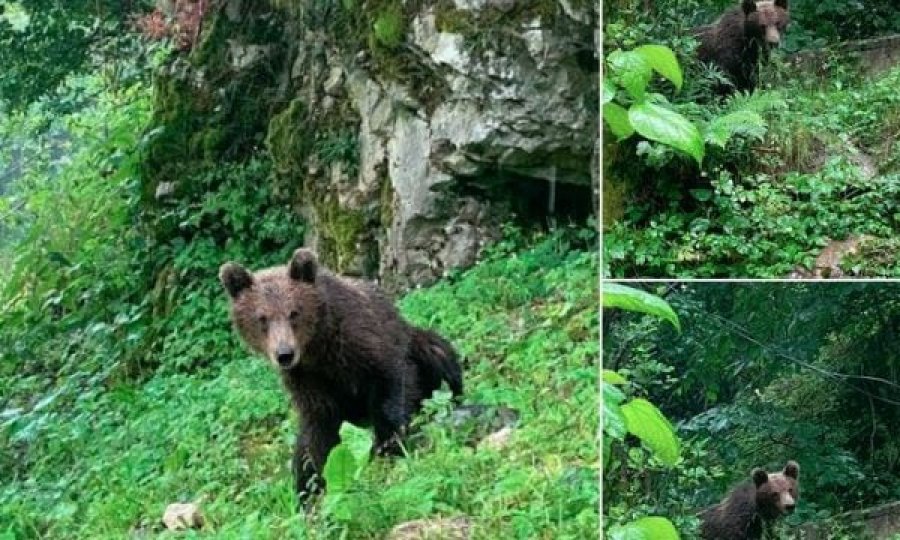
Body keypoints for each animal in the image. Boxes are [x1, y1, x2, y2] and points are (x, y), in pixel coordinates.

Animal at [219, 249, 464, 502]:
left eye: (294, 312)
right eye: (262, 318)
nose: (284, 354)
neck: (318, 348)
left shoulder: (367, 345)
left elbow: (391, 385)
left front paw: (387, 447)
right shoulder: (308, 380)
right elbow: (318, 433)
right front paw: (316, 482)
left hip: (420, 345)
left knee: (437, 355)